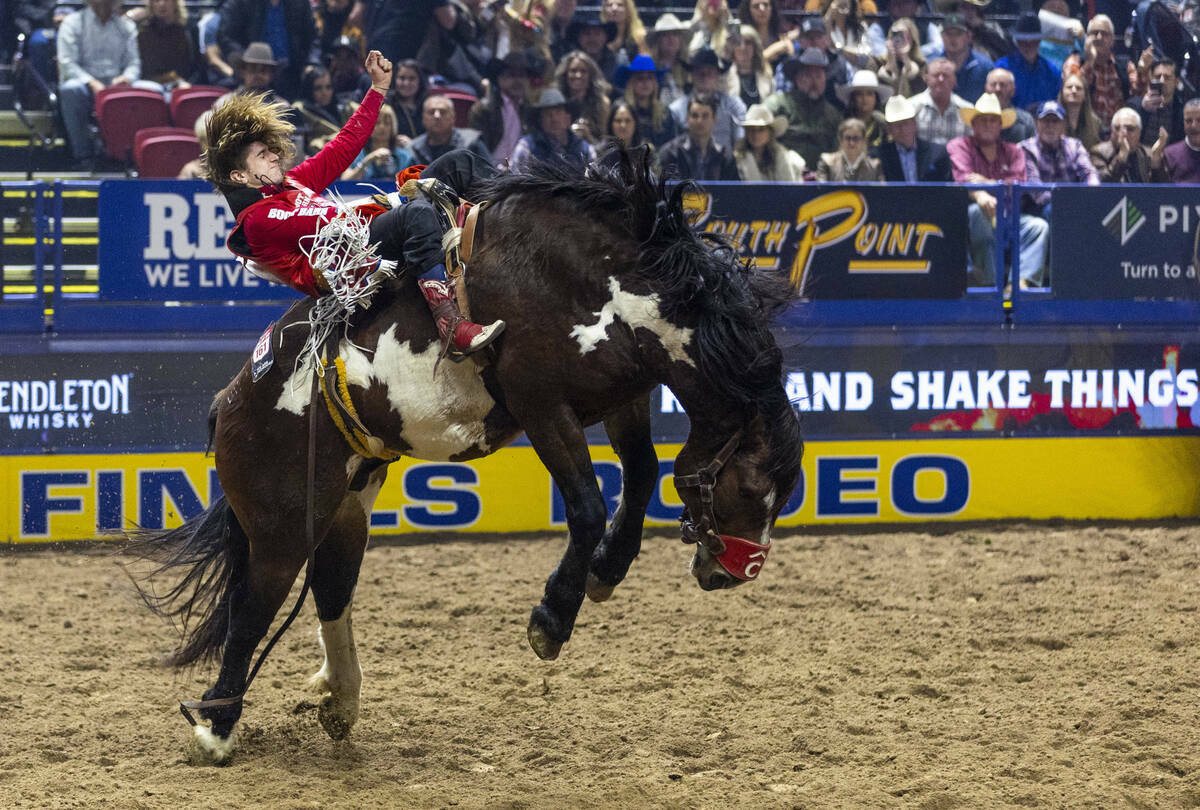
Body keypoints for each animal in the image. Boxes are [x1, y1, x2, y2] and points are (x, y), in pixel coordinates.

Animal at [129, 152, 806, 768]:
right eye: (751, 490)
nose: (733, 573)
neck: (587, 279)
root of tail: (233, 396)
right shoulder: (542, 405)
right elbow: (589, 505)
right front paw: (551, 621)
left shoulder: (625, 396)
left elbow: (640, 478)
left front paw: (607, 572)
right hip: (281, 522)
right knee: (252, 610)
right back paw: (217, 730)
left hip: (347, 503)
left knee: (332, 589)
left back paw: (340, 700)